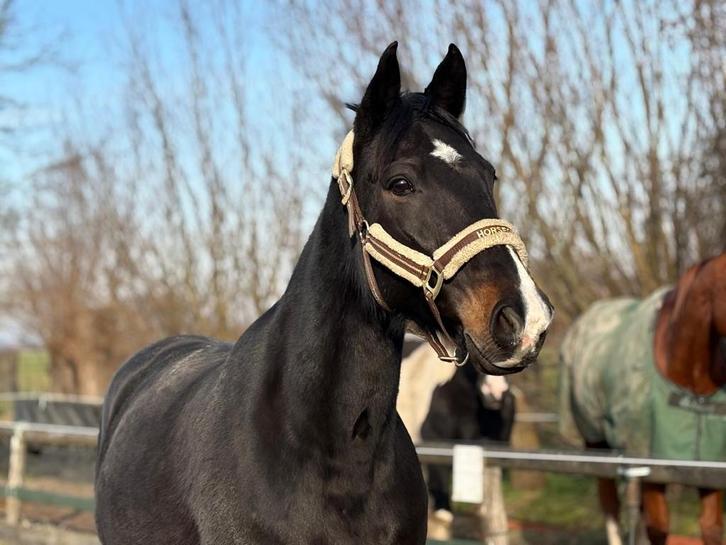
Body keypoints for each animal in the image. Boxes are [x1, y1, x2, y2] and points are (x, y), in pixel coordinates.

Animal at [560, 253, 726, 545]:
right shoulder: (648, 462)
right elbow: (658, 527)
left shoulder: (707, 467)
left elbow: (711, 528)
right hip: (596, 442)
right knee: (610, 505)